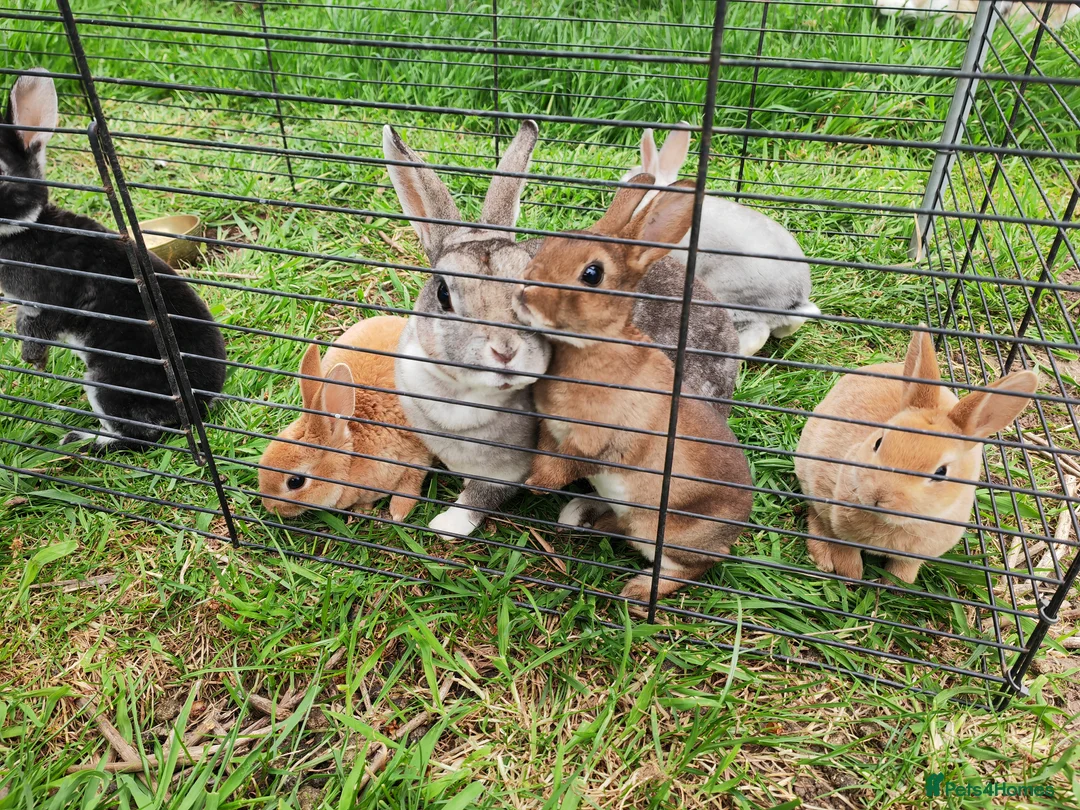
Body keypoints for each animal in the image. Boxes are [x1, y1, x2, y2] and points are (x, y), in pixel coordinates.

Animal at [0, 68, 226, 452]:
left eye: (1, 174)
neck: (24, 228)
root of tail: (200, 404)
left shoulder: (49, 301)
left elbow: (37, 330)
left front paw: (33, 362)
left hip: (107, 383)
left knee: (140, 436)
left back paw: (83, 441)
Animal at [259, 315, 432, 521]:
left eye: (295, 482)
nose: (269, 507)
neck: (351, 460)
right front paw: (363, 510)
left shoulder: (417, 455)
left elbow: (411, 482)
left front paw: (399, 513)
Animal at [383, 121, 740, 541]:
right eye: (442, 294)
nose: (505, 351)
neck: (461, 394)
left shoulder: (512, 468)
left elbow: (483, 496)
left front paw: (447, 525)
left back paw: (577, 513)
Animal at [513, 174, 754, 603]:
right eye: (550, 244)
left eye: (592, 274)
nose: (525, 291)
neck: (592, 347)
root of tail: (735, 529)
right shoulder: (550, 430)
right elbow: (545, 453)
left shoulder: (595, 441)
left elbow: (565, 464)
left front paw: (536, 487)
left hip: (663, 530)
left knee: (697, 565)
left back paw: (638, 594)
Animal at [795, 327, 1039, 583]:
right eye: (878, 442)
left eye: (941, 472)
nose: (879, 495)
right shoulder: (840, 528)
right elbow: (846, 554)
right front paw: (852, 577)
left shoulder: (915, 555)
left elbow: (904, 571)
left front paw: (892, 584)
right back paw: (823, 560)